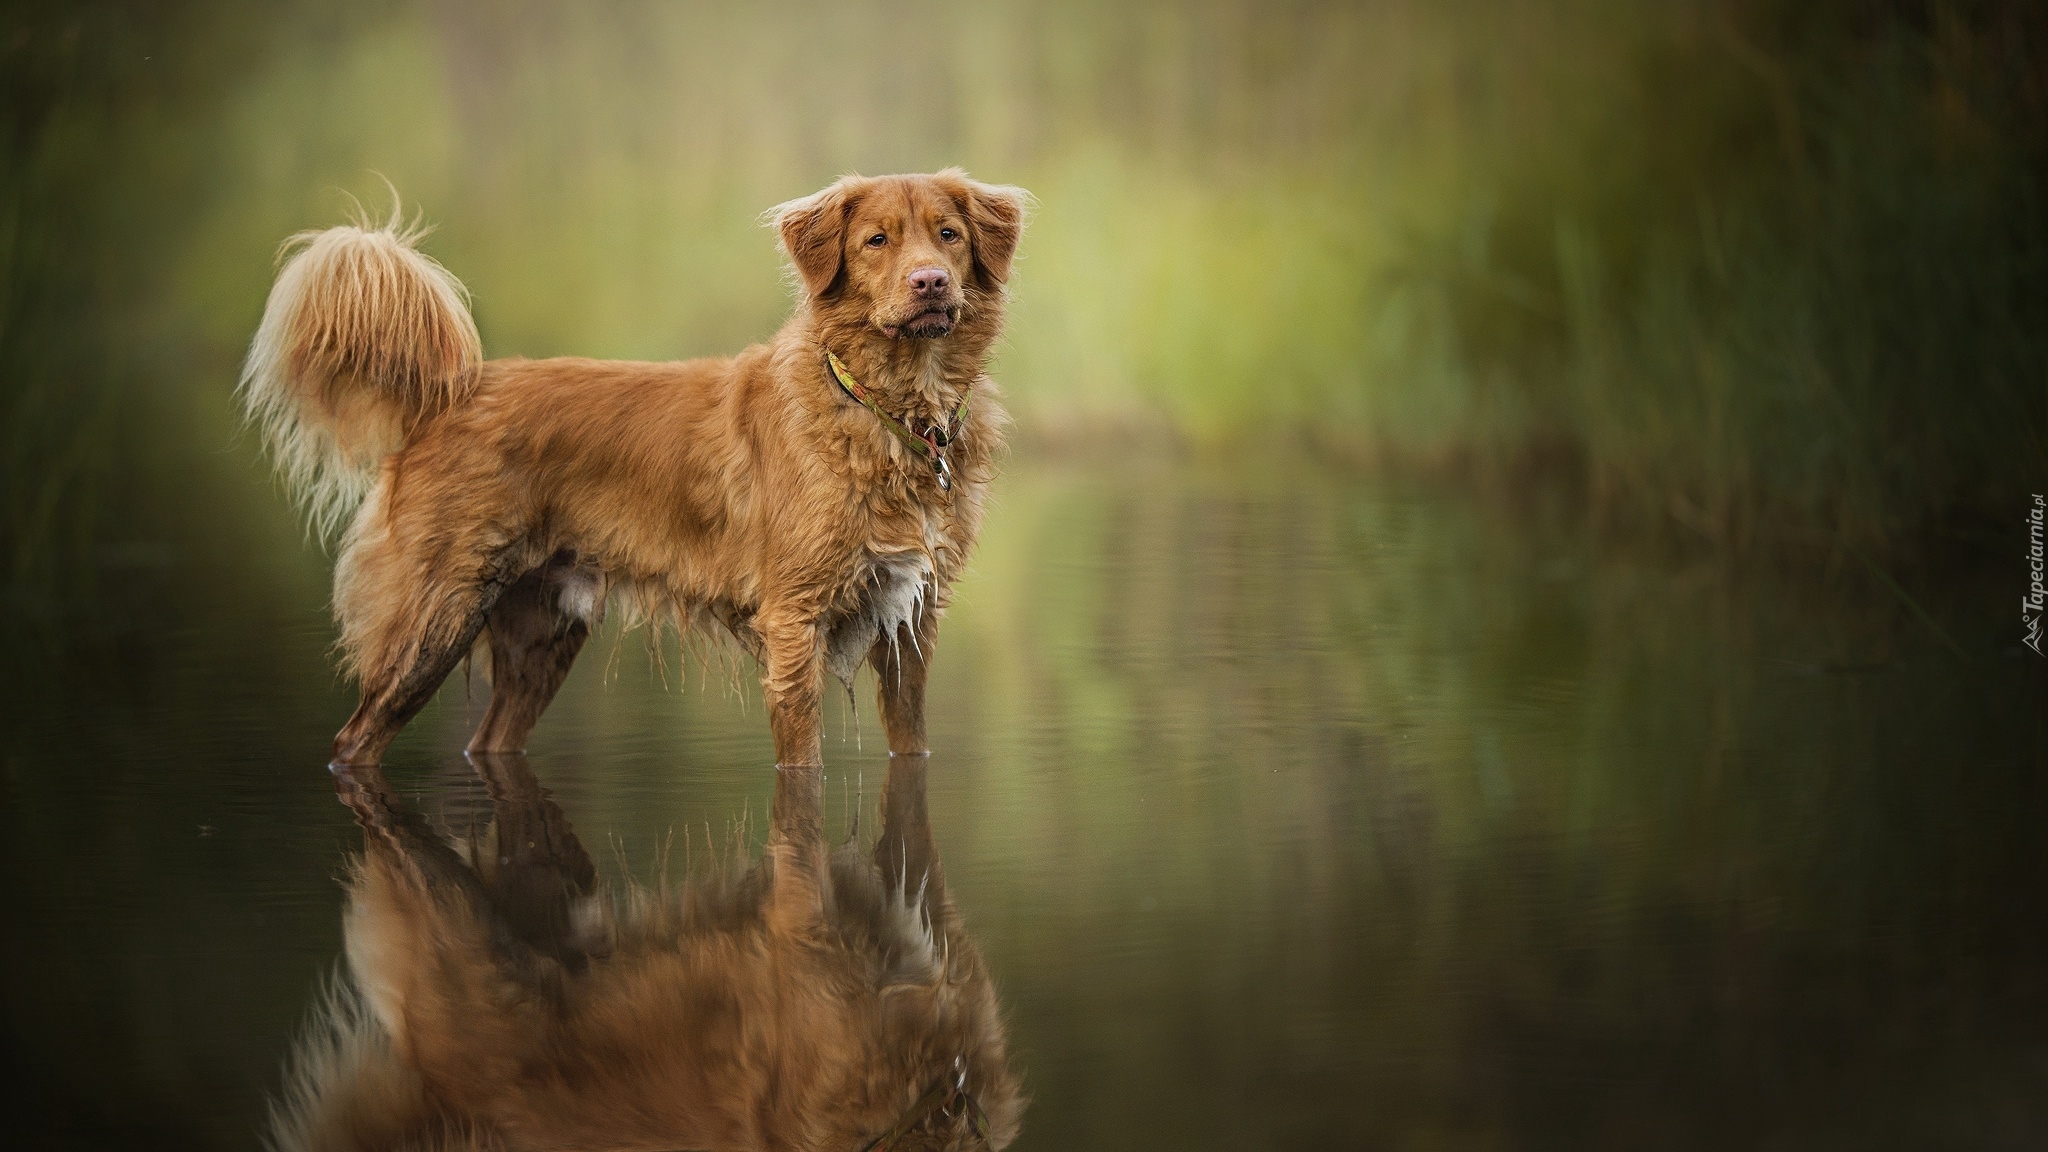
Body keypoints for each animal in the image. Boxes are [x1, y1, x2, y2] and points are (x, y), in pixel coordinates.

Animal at [239, 170, 1024, 762]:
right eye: (875, 240)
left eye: (948, 235)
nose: (930, 282)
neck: (890, 411)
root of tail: (448, 396)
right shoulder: (794, 623)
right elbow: (803, 768)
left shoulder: (911, 621)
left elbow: (911, 747)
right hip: (432, 616)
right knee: (354, 742)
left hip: (541, 635)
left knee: (488, 743)